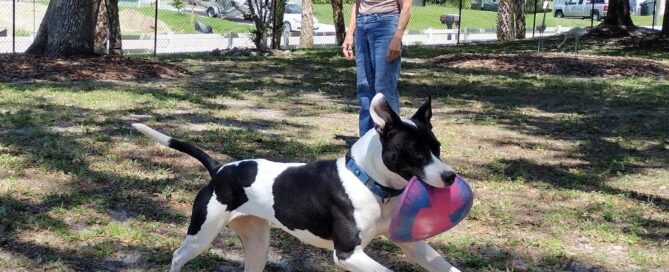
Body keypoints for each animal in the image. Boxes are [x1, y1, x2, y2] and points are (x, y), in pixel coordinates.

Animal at [132, 93, 460, 272]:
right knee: (178, 256)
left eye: (438, 147)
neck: (369, 183)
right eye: (416, 152)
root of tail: (220, 169)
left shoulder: (413, 246)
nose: (450, 176)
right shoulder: (348, 254)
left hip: (257, 243)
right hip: (201, 235)